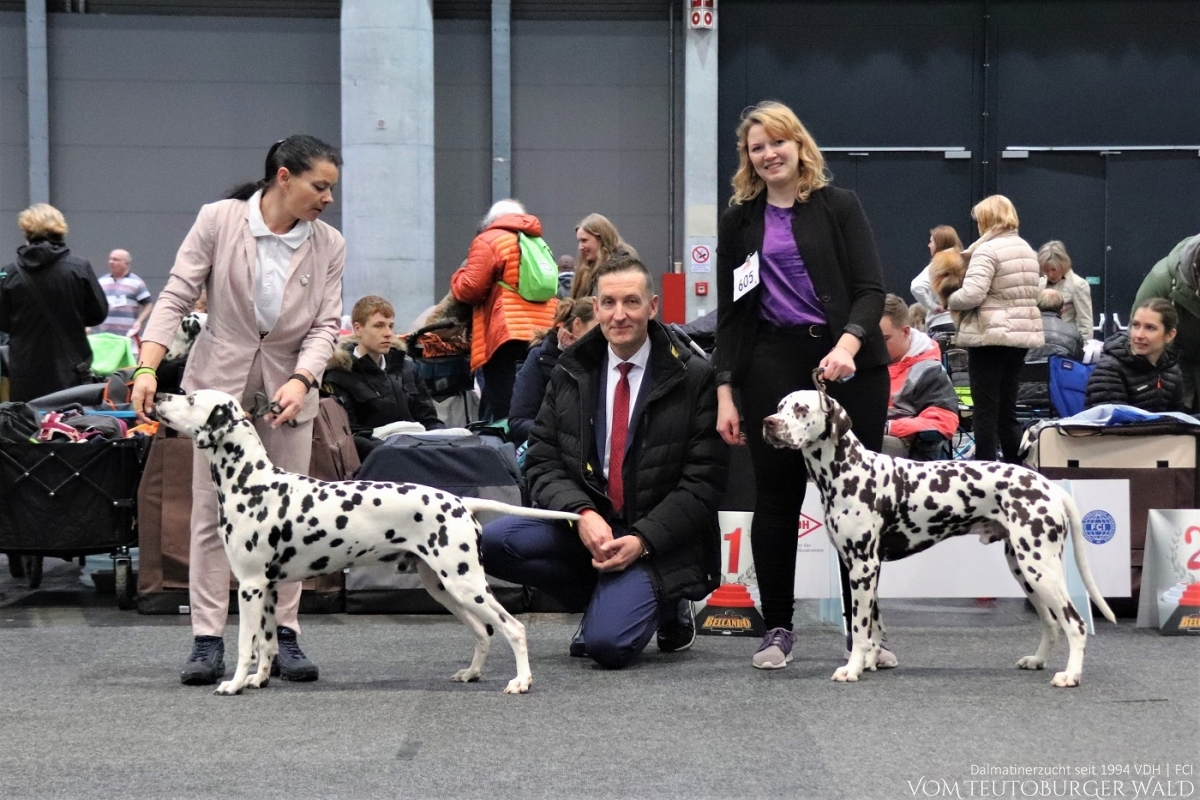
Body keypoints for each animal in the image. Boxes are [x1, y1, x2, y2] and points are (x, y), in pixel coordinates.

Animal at [154, 388, 580, 695]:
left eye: (191, 399)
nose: (158, 396)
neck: (252, 482)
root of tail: (460, 501)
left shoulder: (250, 586)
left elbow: (246, 644)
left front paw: (235, 684)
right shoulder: (269, 588)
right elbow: (268, 642)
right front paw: (259, 679)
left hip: (466, 585)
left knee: (513, 628)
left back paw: (521, 682)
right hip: (444, 588)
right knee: (482, 631)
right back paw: (472, 673)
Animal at [763, 388, 1118, 690]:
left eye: (801, 408)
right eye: (780, 406)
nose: (769, 423)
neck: (847, 471)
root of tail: (1050, 487)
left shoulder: (862, 567)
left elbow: (861, 629)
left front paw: (852, 669)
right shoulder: (867, 569)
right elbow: (875, 626)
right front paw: (870, 662)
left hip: (1040, 569)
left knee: (1075, 624)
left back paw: (1070, 675)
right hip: (1025, 570)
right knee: (1051, 623)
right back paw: (1038, 661)